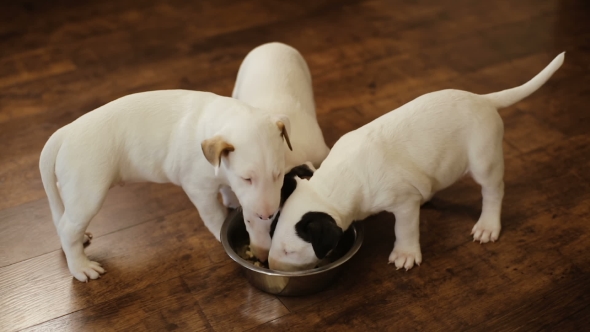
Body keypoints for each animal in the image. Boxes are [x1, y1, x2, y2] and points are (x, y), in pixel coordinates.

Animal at [38, 89, 294, 282]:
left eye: (278, 174)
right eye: (247, 178)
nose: (266, 214)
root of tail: (65, 133)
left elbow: (227, 189)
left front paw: (232, 199)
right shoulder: (198, 189)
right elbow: (214, 216)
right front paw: (221, 229)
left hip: (72, 189)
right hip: (88, 191)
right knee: (67, 228)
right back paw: (80, 267)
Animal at [270, 52, 568, 272]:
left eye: (290, 251)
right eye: (271, 232)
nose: (271, 265)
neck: (338, 180)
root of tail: (482, 100)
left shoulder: (403, 204)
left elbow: (404, 228)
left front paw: (405, 254)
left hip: (484, 160)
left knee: (493, 191)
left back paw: (488, 225)